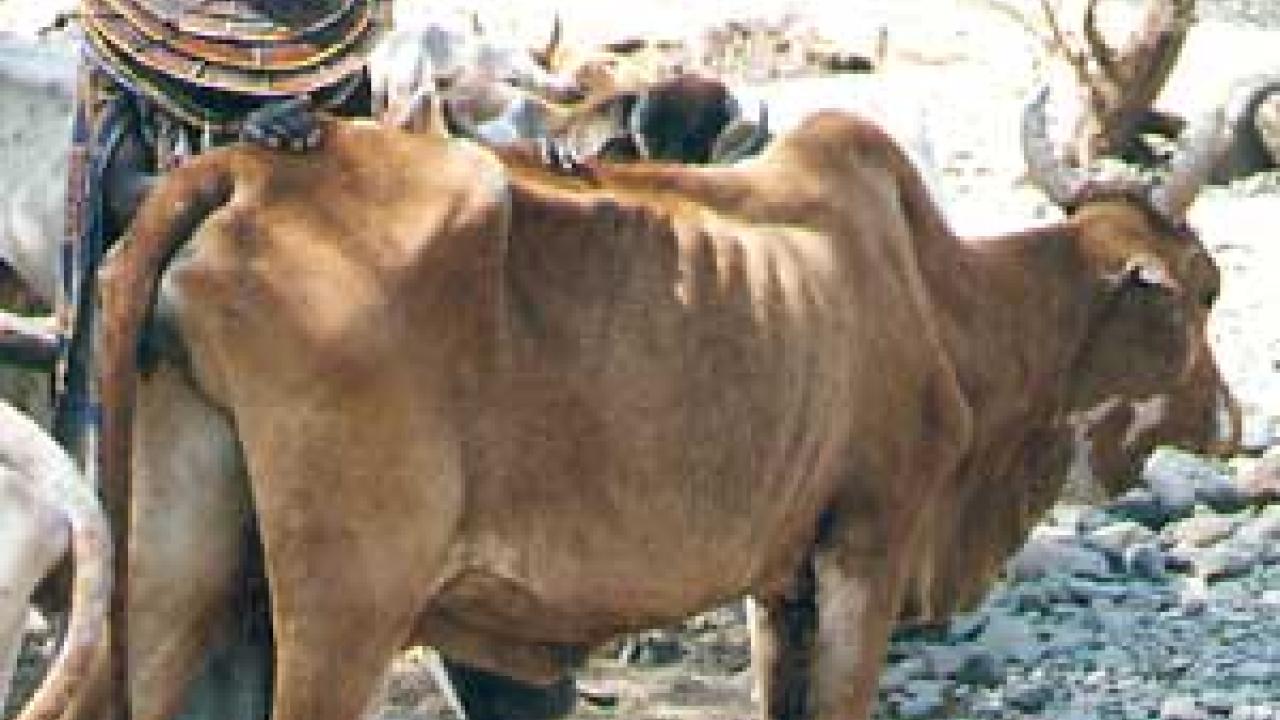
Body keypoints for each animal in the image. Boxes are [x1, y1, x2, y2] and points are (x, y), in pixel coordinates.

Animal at [43, 75, 1240, 720]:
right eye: (1201, 290)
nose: (1230, 421)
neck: (937, 294)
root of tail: (251, 171)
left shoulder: (782, 583)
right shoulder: (868, 542)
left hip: (173, 568)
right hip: (349, 600)